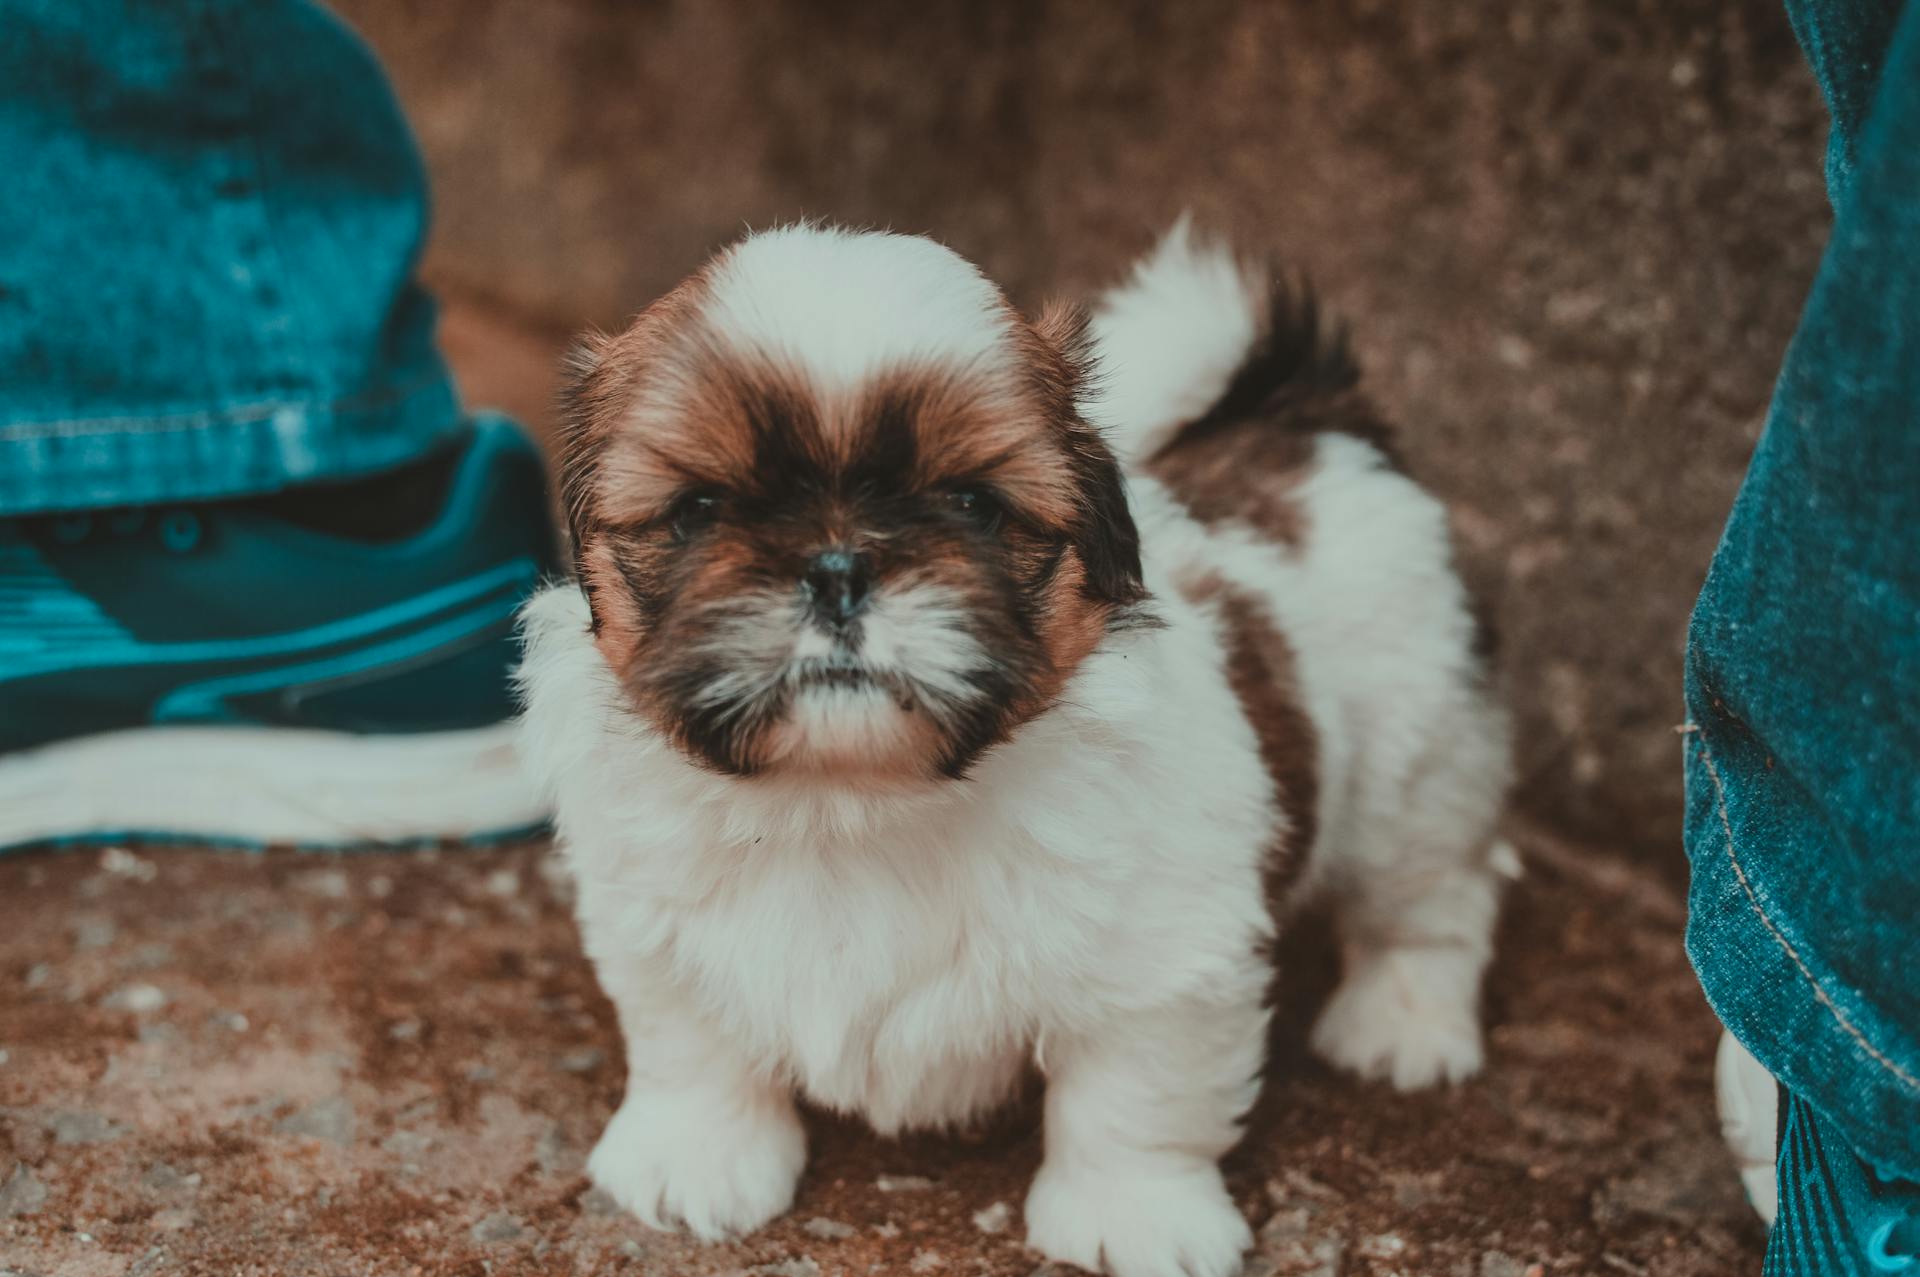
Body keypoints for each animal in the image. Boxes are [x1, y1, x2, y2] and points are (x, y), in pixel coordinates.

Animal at [518, 221, 1505, 1275]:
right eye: (699, 509)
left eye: (973, 506)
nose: (837, 566)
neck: (849, 803)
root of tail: (1309, 426)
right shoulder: (651, 921)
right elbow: (690, 1040)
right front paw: (695, 1157)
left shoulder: (1164, 951)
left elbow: (1134, 1093)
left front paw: (1134, 1214)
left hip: (1418, 769)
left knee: (1434, 898)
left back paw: (1404, 1022)